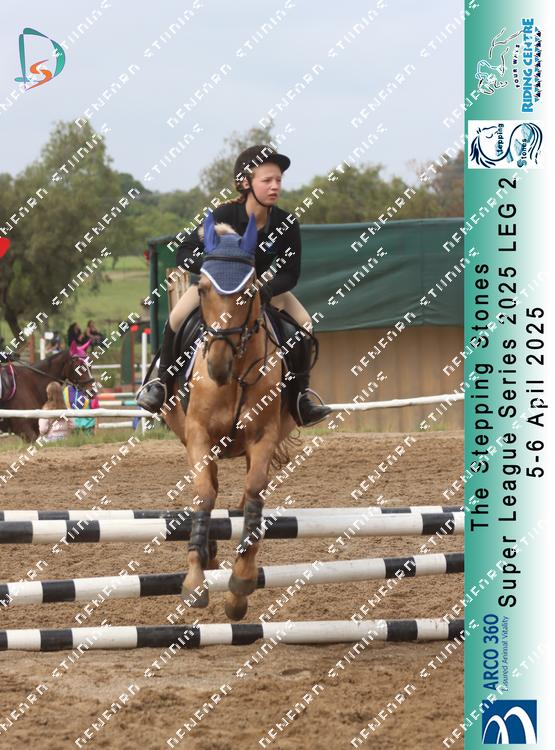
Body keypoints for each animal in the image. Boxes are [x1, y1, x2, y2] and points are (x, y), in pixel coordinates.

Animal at [163, 212, 297, 621]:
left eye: (250, 291)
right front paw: (195, 579)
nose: (217, 365)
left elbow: (254, 494)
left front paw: (240, 583)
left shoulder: (263, 438)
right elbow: (204, 495)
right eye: (203, 290)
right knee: (211, 486)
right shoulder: (198, 435)